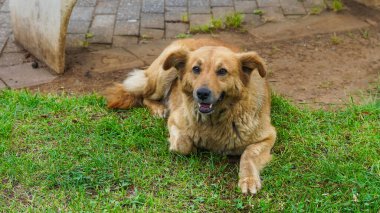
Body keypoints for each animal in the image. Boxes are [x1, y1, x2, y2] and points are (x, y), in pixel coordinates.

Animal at [106, 38, 276, 195]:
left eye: (222, 71)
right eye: (196, 69)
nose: (202, 93)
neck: (216, 120)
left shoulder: (268, 137)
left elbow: (248, 155)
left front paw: (249, 179)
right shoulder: (175, 120)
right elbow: (183, 144)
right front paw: (188, 146)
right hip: (163, 75)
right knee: (143, 96)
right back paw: (159, 108)